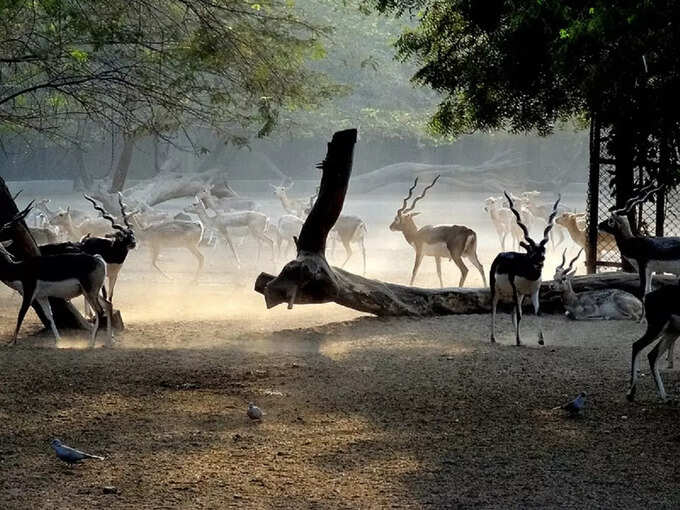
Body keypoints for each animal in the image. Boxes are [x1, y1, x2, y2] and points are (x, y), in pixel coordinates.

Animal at [0, 205, 113, 344]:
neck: (19, 268)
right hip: (91, 292)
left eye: (5, 227)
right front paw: (58, 340)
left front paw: (12, 342)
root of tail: (98, 259)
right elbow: (49, 316)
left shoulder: (28, 293)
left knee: (99, 311)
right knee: (107, 305)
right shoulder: (41, 296)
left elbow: (21, 314)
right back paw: (109, 340)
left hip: (89, 292)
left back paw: (91, 343)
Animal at [492, 191, 560, 346]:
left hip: (520, 295)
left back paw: (520, 338)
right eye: (531, 251)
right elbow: (519, 315)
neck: (529, 274)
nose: (541, 261)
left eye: (543, 250)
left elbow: (537, 312)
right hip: (497, 290)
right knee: (494, 309)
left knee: (512, 313)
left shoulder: (534, 291)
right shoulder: (516, 290)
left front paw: (540, 340)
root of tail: (501, 254)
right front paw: (517, 341)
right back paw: (493, 338)